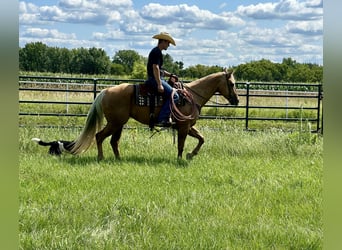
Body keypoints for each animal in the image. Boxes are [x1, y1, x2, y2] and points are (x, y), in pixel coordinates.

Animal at [69, 70, 240, 160]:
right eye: (232, 84)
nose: (237, 100)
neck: (191, 96)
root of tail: (105, 91)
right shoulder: (183, 127)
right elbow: (181, 144)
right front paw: (180, 159)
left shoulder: (188, 126)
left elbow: (201, 138)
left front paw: (191, 155)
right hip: (115, 123)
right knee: (99, 136)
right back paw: (101, 157)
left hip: (119, 124)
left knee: (113, 141)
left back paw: (118, 159)